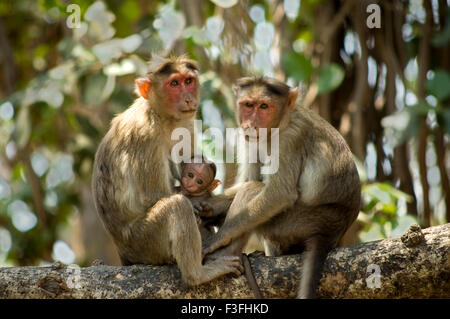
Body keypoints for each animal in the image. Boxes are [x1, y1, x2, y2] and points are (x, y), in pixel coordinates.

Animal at [92, 55, 243, 288]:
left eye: (188, 81)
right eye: (174, 84)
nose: (189, 99)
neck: (161, 116)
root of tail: (123, 251)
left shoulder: (187, 123)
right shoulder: (145, 136)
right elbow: (155, 196)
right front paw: (196, 205)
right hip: (145, 242)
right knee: (176, 206)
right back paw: (197, 274)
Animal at [204, 76, 362, 298]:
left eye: (264, 106)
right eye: (248, 105)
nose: (252, 124)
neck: (278, 125)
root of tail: (334, 230)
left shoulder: (291, 138)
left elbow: (279, 193)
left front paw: (221, 237)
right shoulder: (247, 139)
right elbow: (250, 178)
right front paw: (209, 205)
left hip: (305, 222)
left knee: (253, 190)